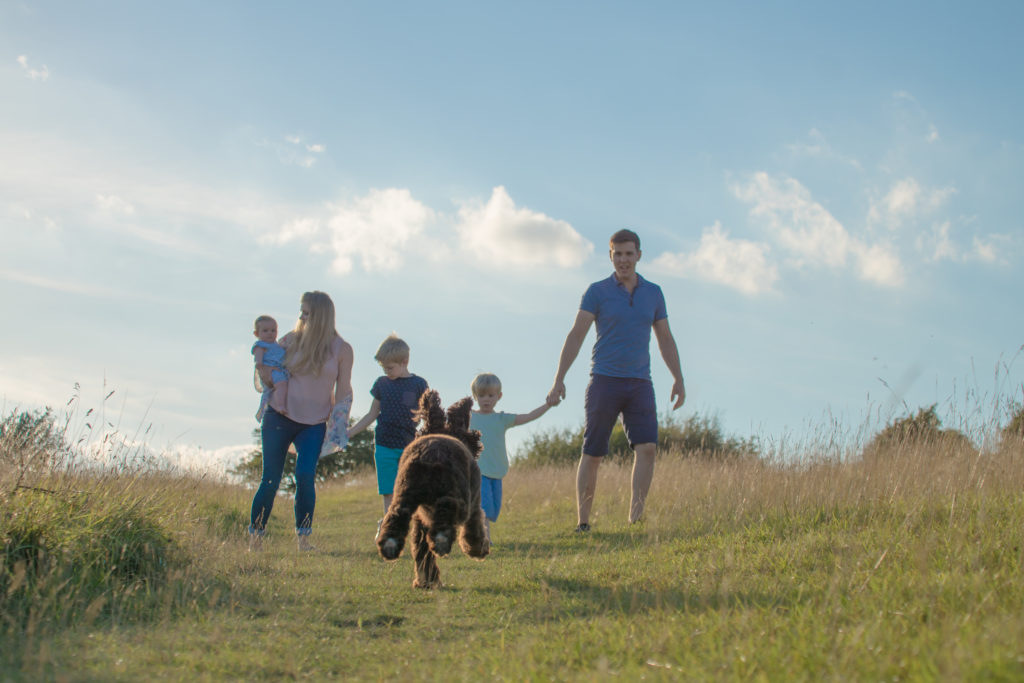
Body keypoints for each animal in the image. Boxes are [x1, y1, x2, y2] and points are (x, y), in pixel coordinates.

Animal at [378, 389, 489, 589]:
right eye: (470, 435)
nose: (478, 438)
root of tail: (428, 456)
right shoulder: (475, 504)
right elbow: (474, 531)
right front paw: (478, 549)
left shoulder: (420, 520)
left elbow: (421, 550)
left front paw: (426, 581)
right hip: (458, 497)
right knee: (448, 511)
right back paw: (441, 539)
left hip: (404, 495)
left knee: (396, 516)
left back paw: (390, 545)